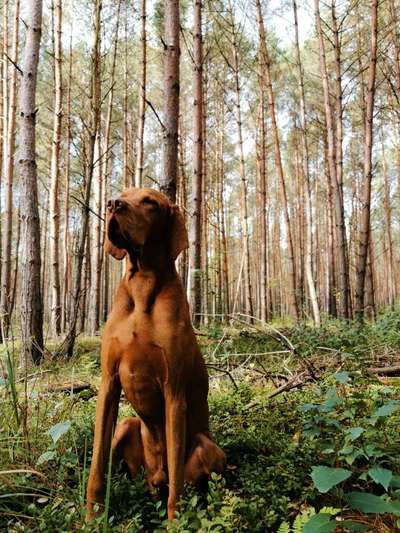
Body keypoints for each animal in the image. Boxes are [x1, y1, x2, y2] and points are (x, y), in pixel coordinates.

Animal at [86, 186, 225, 520]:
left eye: (150, 202)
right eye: (122, 194)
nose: (112, 204)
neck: (142, 285)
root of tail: (153, 476)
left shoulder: (173, 392)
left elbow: (177, 477)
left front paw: (176, 522)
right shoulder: (109, 382)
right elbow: (96, 464)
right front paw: (91, 517)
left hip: (206, 446)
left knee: (182, 477)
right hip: (127, 426)